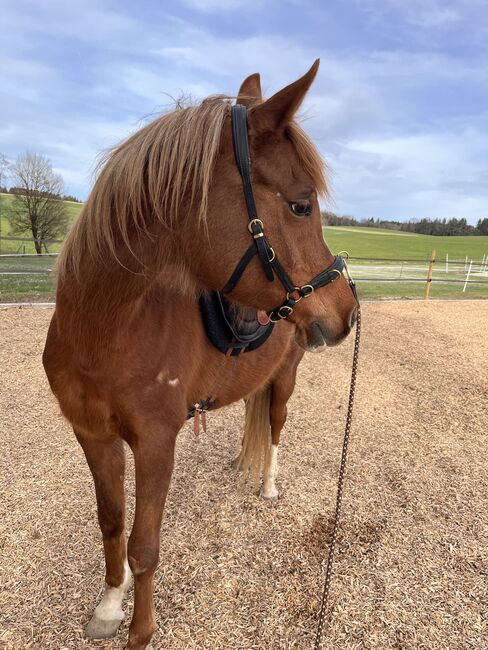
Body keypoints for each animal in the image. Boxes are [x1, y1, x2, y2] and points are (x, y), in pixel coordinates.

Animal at [43, 59, 356, 644]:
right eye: (301, 205)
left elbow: (144, 548)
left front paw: (140, 633)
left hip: (286, 379)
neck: (107, 330)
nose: (348, 310)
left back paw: (268, 485)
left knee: (275, 425)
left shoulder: (156, 444)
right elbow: (112, 525)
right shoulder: (93, 435)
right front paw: (110, 607)